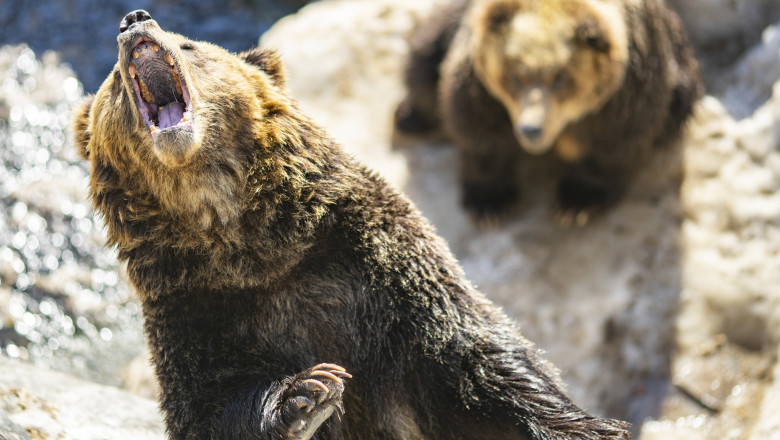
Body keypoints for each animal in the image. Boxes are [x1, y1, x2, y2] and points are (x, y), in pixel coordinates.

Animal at [73, 9, 630, 440]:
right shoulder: (194, 310)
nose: (133, 19)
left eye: (189, 44)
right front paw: (304, 396)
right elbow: (207, 408)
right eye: (111, 83)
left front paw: (592, 427)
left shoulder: (379, 265)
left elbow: (476, 361)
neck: (243, 240)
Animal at [395, 0, 703, 222]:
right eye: (516, 75)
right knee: (424, 58)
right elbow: (478, 127)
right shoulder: (479, 79)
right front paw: (490, 201)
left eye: (560, 78)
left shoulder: (628, 86)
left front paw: (577, 201)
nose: (531, 130)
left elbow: (617, 139)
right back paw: (409, 117)